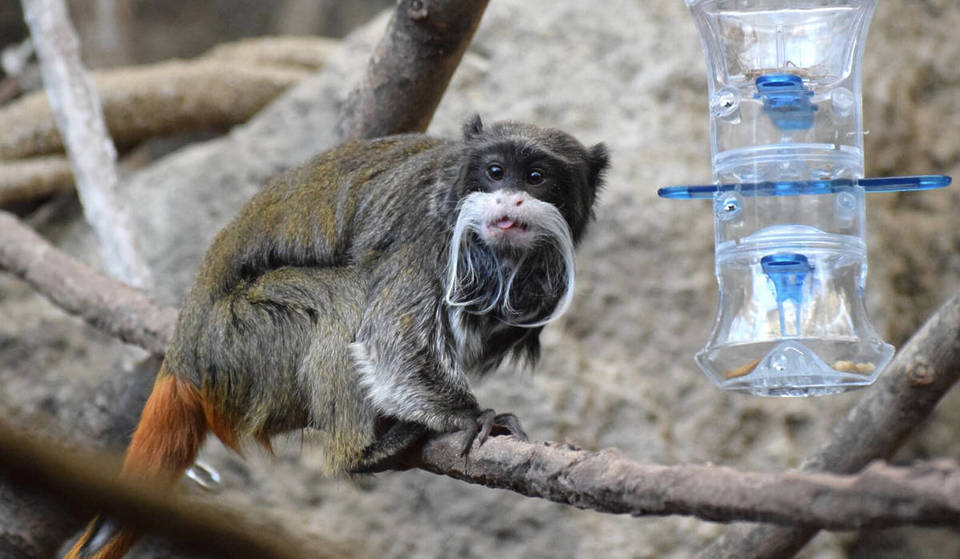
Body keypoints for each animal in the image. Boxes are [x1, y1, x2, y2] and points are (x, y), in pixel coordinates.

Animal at [64, 115, 608, 559]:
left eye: (535, 178)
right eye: (495, 172)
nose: (508, 197)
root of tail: (185, 351)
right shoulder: (428, 235)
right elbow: (392, 336)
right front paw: (471, 416)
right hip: (240, 339)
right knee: (343, 297)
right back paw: (362, 454)